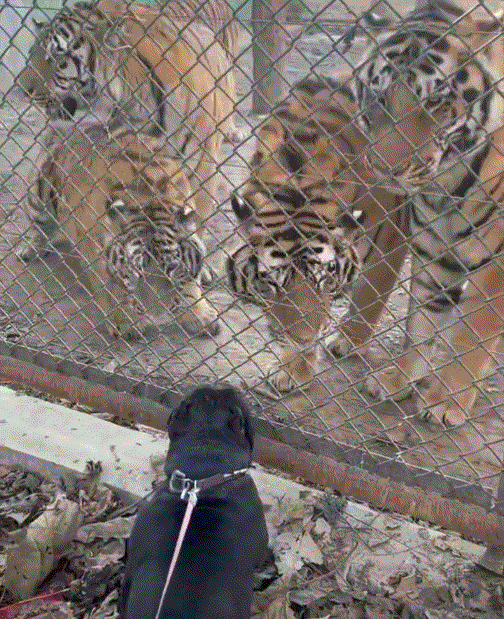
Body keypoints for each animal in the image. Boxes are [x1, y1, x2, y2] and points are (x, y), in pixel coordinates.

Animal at [21, 125, 219, 339]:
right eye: (136, 274)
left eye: (172, 270)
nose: (158, 316)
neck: (150, 199)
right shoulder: (90, 243)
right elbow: (109, 286)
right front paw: (124, 321)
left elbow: (190, 282)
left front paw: (201, 315)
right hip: (37, 196)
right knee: (40, 225)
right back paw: (30, 249)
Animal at [227, 77, 406, 392]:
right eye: (271, 281)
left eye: (325, 277)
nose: (304, 337)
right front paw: (294, 367)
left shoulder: (390, 236)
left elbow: (371, 292)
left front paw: (349, 340)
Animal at [343, 0, 504, 426]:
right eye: (379, 96)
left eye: (434, 102)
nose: (385, 169)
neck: (446, 184)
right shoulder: (434, 248)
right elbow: (421, 321)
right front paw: (399, 379)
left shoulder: (497, 261)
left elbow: (473, 334)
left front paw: (447, 400)